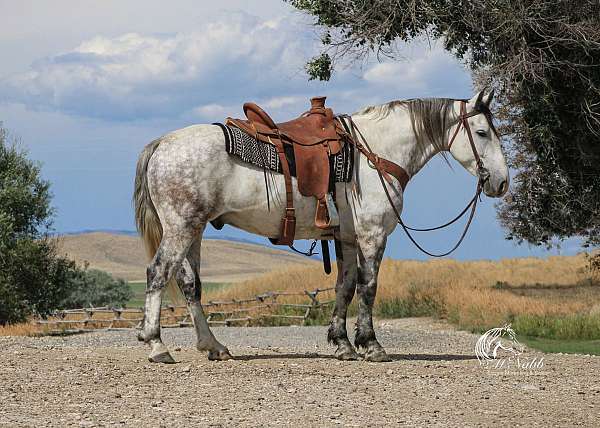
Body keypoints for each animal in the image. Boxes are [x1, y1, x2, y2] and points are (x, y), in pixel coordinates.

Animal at [134, 92, 508, 362]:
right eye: (481, 132)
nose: (502, 182)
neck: (375, 154)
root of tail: (162, 143)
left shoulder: (347, 239)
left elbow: (345, 287)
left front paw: (343, 344)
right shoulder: (372, 236)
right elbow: (368, 288)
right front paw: (371, 346)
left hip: (193, 230)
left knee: (190, 285)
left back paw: (213, 346)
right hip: (181, 227)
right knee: (158, 273)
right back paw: (157, 345)